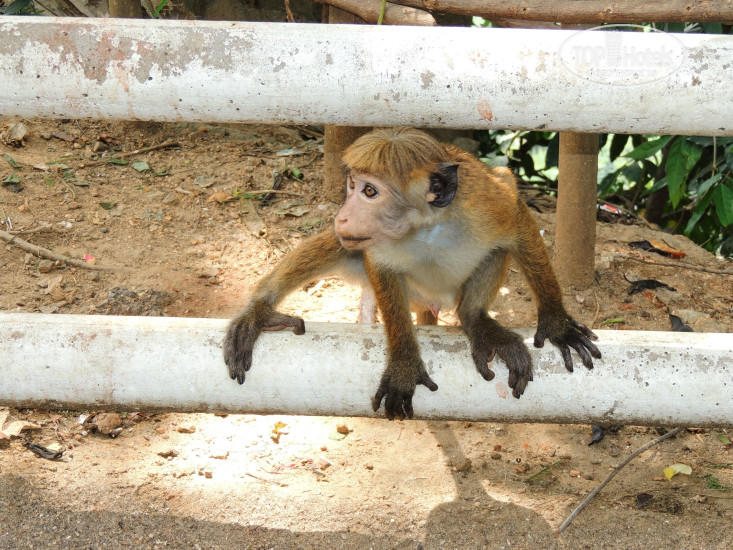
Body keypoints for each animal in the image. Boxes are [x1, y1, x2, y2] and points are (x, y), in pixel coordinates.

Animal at [224, 128, 601, 420]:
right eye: (351, 186)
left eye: (370, 191)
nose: (343, 215)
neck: (425, 228)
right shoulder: (375, 245)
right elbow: (381, 268)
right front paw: (404, 364)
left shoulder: (488, 204)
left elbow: (519, 223)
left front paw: (556, 323)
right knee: (339, 245)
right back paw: (259, 311)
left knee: (495, 255)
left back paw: (475, 318)